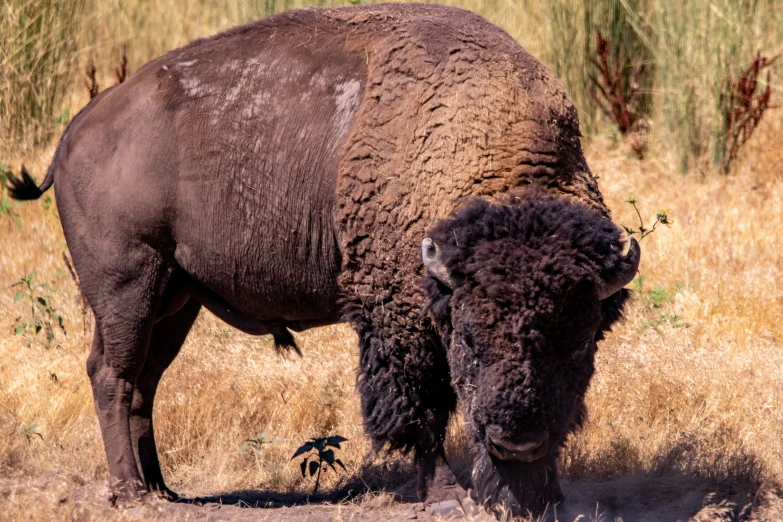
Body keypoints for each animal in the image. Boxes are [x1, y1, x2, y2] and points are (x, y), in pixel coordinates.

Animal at [9, 4, 640, 516]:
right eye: (467, 337)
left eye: (581, 340)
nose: (516, 440)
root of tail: (76, 131)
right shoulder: (399, 319)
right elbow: (422, 408)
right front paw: (446, 497)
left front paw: (547, 495)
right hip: (128, 287)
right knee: (111, 375)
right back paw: (131, 494)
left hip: (174, 300)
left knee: (145, 382)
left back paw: (163, 489)